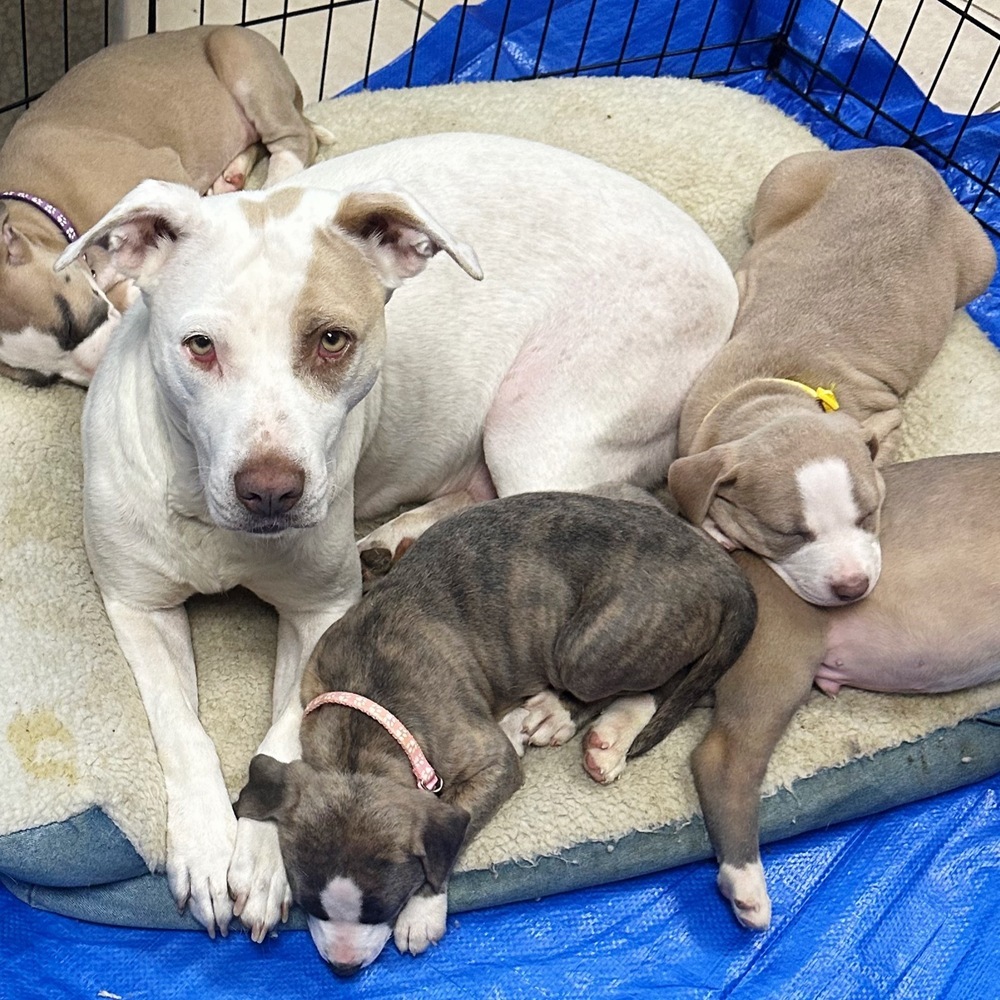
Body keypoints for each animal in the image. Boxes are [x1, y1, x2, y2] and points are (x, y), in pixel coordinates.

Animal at [236, 488, 756, 972]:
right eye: (307, 905)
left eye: (386, 907)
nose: (342, 968)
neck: (361, 731)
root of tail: (727, 572)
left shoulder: (491, 765)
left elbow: (455, 835)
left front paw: (423, 913)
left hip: (588, 651)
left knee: (667, 684)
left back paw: (565, 718)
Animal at [668, 145, 996, 604]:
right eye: (789, 534)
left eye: (868, 514)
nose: (853, 587)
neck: (777, 394)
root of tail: (909, 155)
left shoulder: (886, 421)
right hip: (785, 178)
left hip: (981, 259)